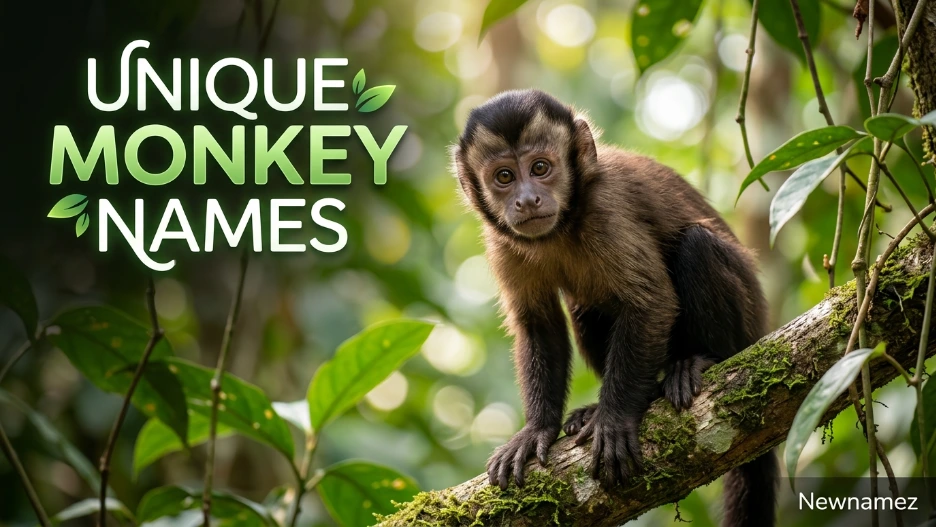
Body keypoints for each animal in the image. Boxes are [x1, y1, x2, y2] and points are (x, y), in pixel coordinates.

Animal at [451, 89, 777, 527]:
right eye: (504, 176)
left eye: (540, 168)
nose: (526, 199)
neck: (564, 224)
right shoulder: (502, 242)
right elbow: (539, 325)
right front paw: (537, 429)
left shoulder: (608, 211)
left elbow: (650, 302)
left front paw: (615, 418)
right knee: (583, 307)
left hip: (748, 326)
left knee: (697, 246)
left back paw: (700, 361)